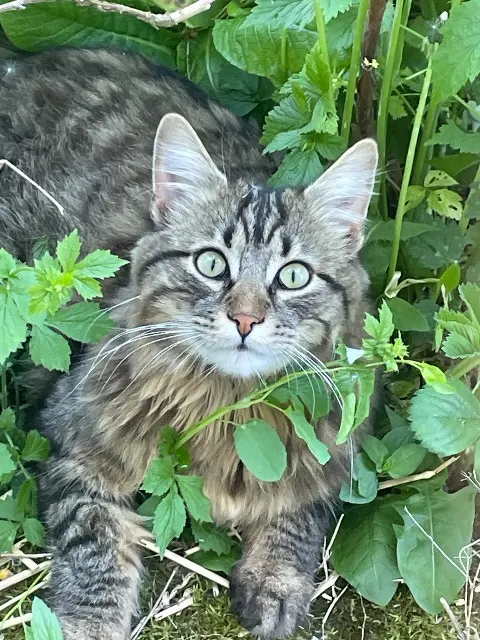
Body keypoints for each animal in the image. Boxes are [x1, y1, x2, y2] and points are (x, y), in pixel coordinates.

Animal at [0, 48, 377, 640]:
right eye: (212, 265)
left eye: (293, 277)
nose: (245, 319)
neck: (226, 406)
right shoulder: (72, 447)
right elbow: (95, 544)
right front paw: (89, 621)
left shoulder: (334, 451)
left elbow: (296, 517)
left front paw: (275, 582)